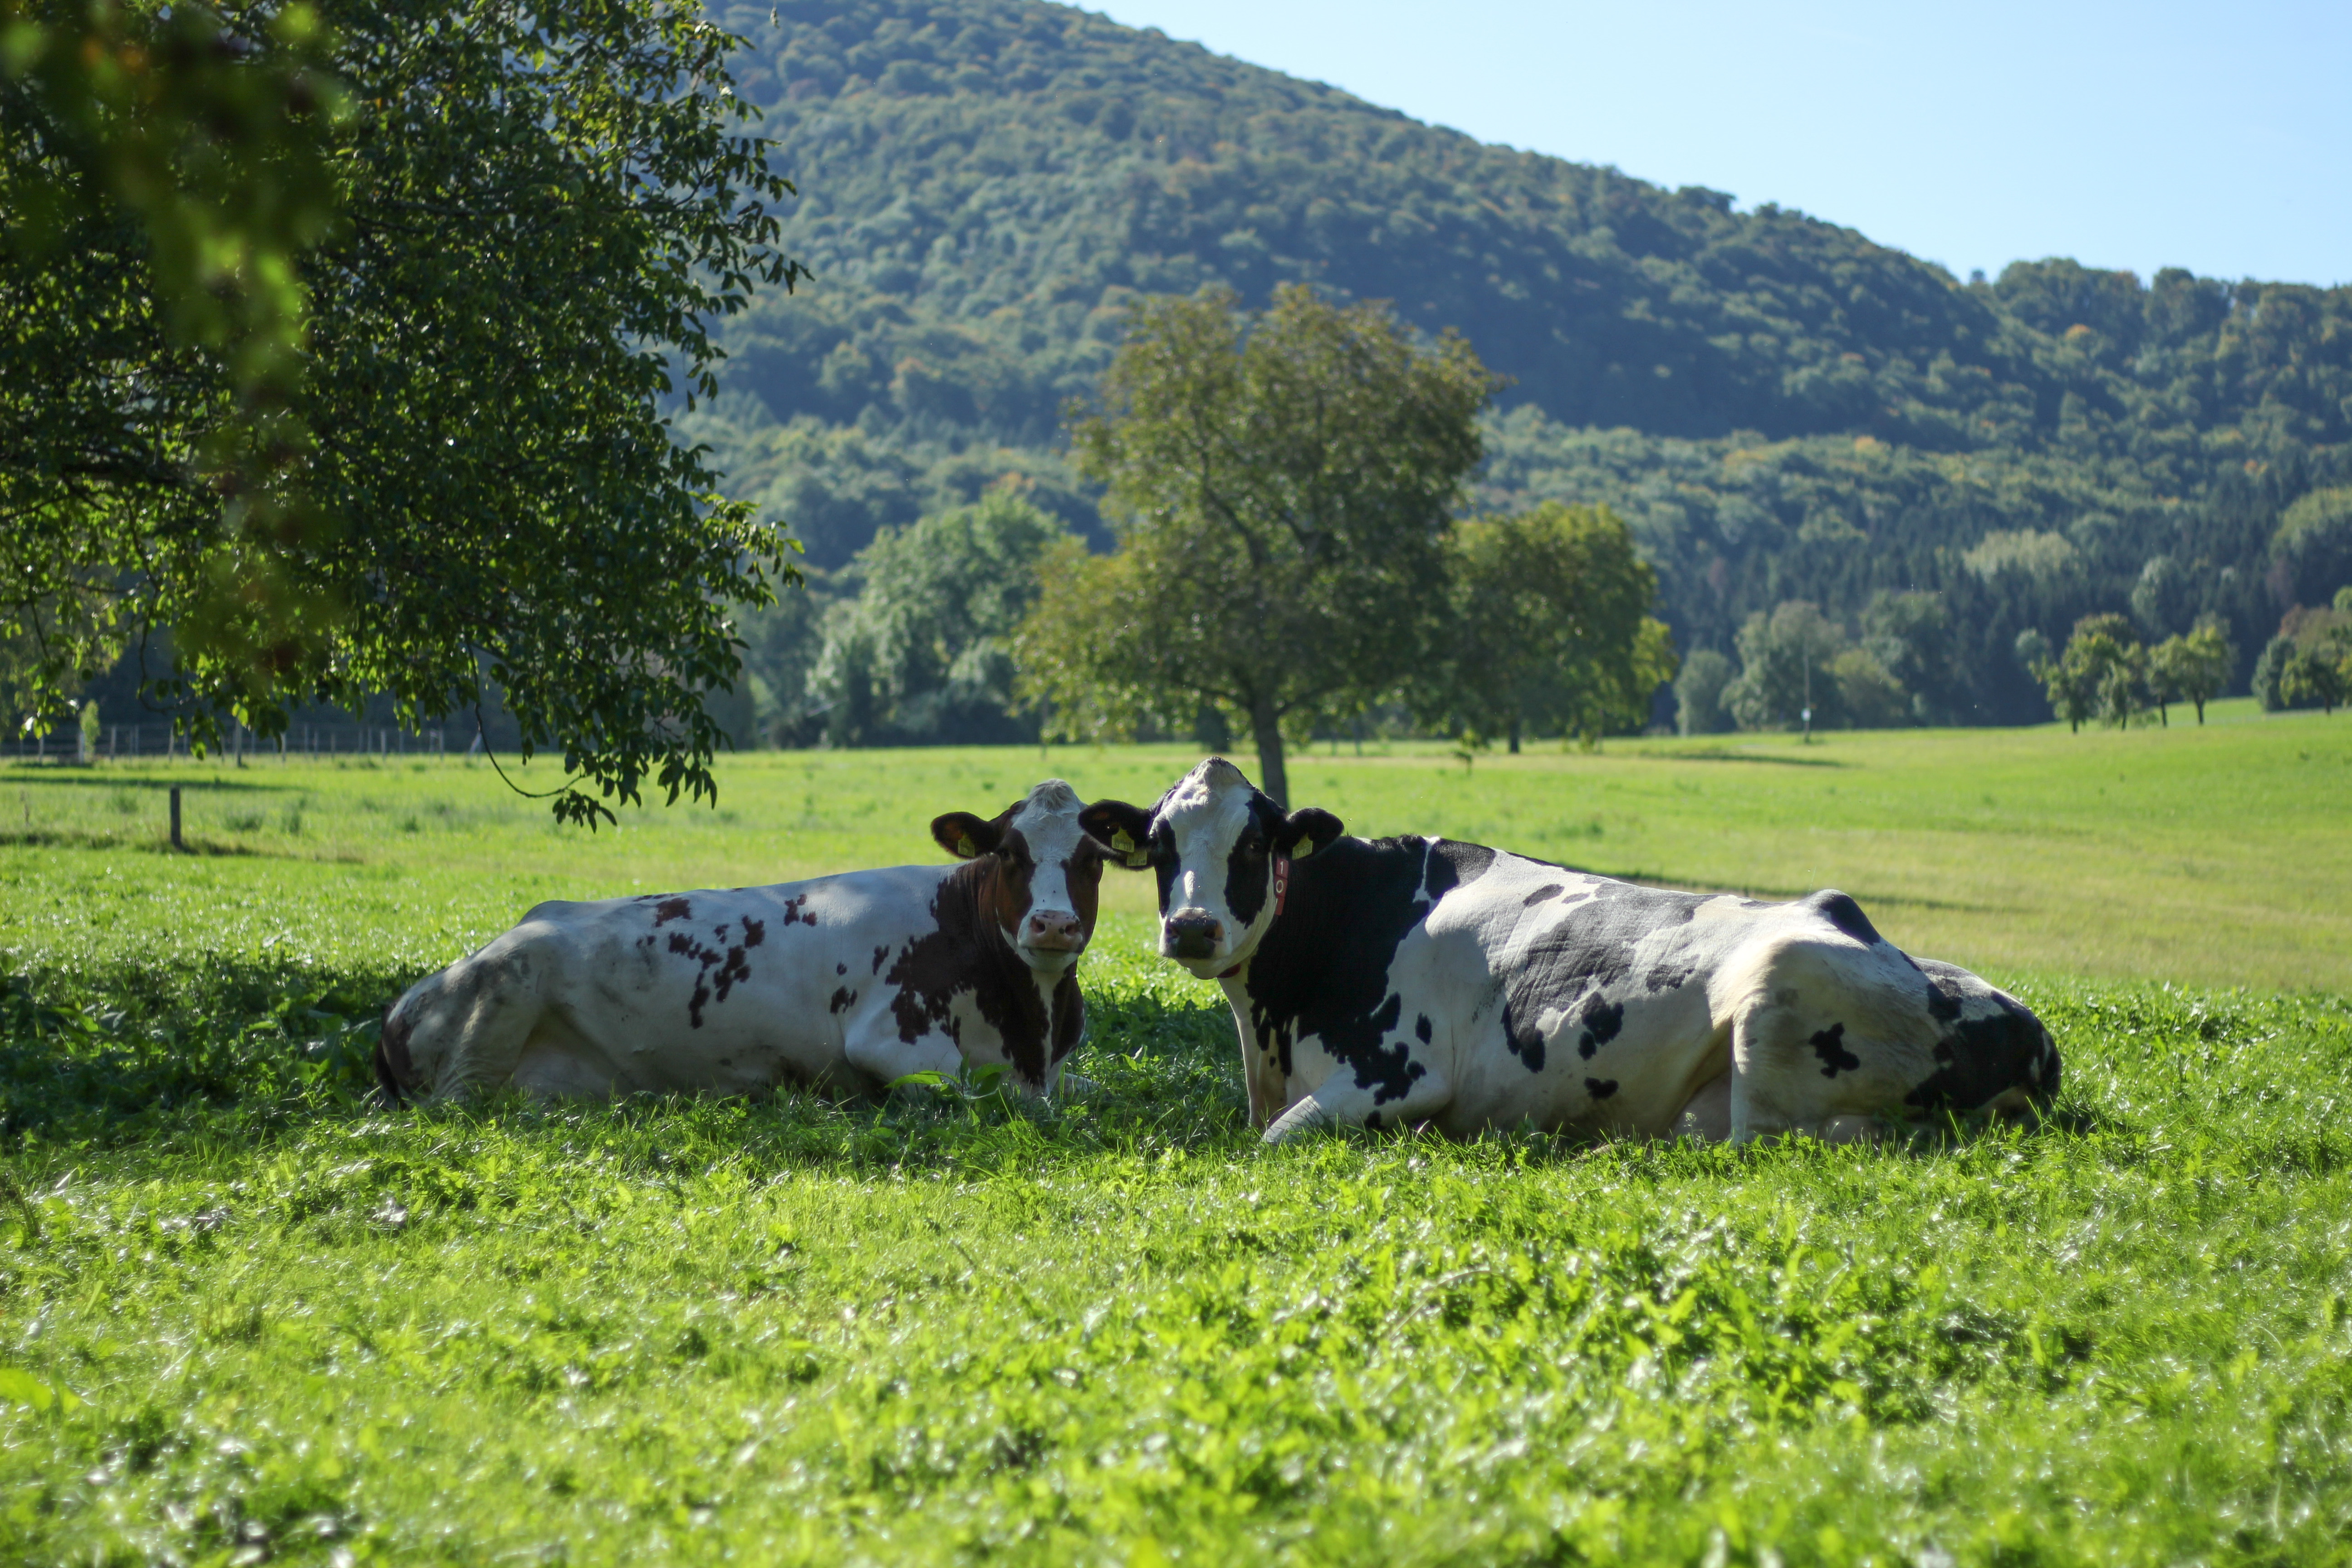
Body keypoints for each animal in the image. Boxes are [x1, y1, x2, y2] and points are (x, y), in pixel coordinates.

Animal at [376, 779, 1115, 1105]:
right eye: (1010, 854)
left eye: (1094, 859)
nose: (1053, 925)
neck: (1028, 1030)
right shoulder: (896, 1046)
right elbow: (978, 1095)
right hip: (503, 991)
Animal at [1080, 758, 2060, 1145]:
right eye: (1160, 846)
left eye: (1253, 845)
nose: (1191, 928)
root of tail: (2028, 1029)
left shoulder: (1395, 1077)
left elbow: (1273, 1140)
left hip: (1777, 996)